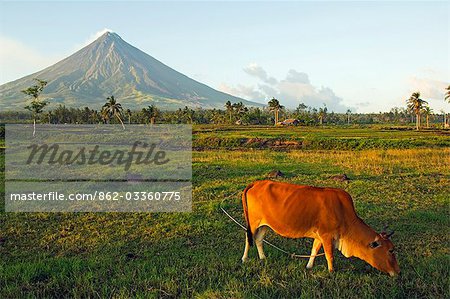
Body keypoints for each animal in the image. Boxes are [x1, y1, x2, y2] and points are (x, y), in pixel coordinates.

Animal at [241, 180, 400, 276]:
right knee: (248, 239)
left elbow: (314, 250)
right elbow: (330, 255)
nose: (398, 271)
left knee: (258, 239)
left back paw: (263, 258)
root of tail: (256, 183)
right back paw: (244, 259)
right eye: (391, 250)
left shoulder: (319, 236)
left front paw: (309, 266)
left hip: (264, 225)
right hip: (253, 223)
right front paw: (331, 271)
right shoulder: (327, 236)